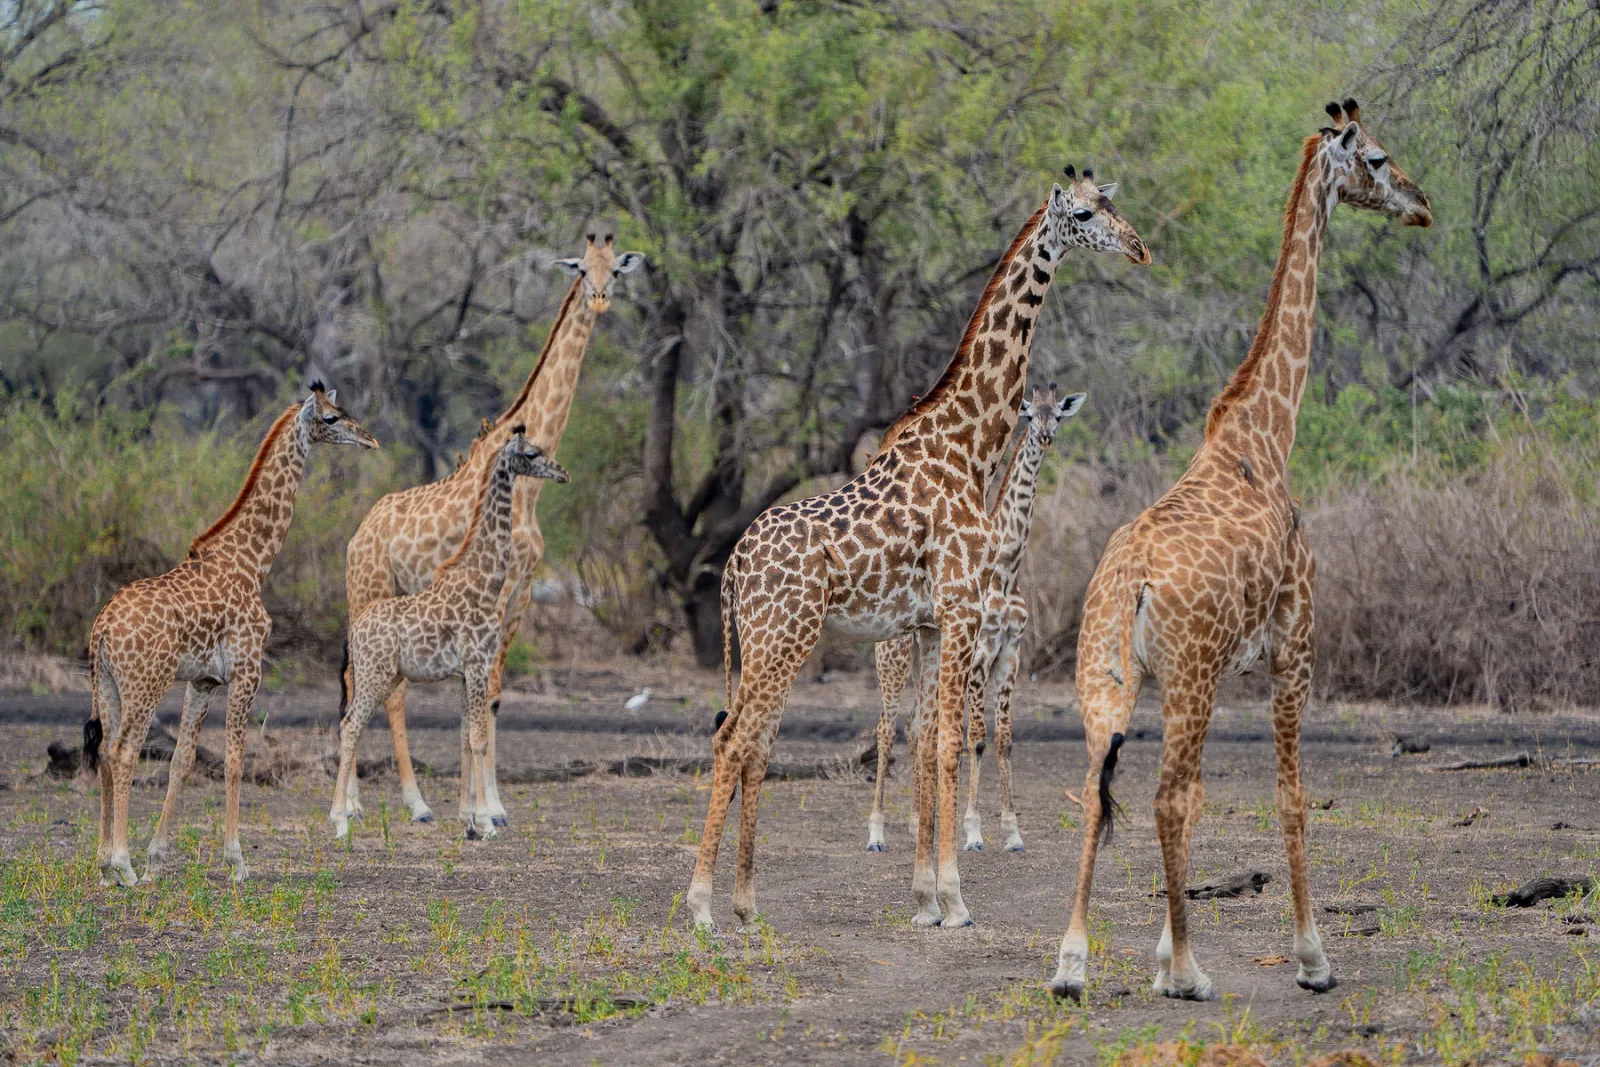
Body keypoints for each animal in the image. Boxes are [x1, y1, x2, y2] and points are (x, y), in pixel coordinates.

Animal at [82, 385, 379, 887]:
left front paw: (157, 857)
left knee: (104, 751)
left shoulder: (203, 681)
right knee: (123, 752)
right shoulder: (247, 670)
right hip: (146, 683)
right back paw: (122, 863)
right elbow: (236, 759)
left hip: (105, 683)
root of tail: (102, 628)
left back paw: (105, 865)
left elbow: (183, 760)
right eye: (332, 418)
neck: (253, 562)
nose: (369, 439)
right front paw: (237, 860)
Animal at [330, 430, 568, 840]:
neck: (485, 579)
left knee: (350, 721)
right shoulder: (477, 663)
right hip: (376, 674)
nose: (563, 472)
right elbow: (478, 738)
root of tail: (355, 631)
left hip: (377, 672)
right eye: (532, 453)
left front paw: (468, 819)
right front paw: (486, 822)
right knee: (350, 725)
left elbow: (465, 737)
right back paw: (341, 819)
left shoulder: (466, 671)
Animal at [866, 385, 1085, 854]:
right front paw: (972, 831)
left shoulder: (1011, 653)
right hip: (892, 655)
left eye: (1058, 415)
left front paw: (1013, 832)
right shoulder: (981, 652)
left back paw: (917, 824)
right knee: (885, 728)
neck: (1006, 569)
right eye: (1029, 416)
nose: (1045, 438)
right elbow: (976, 739)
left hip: (926, 655)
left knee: (915, 727)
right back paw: (876, 834)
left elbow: (1003, 741)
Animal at [1047, 101, 1431, 1002]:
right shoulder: (1295, 641)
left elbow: (1205, 795)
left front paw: (1156, 955)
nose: (1422, 204)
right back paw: (1192, 973)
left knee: (1097, 790)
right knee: (1161, 796)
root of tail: (1130, 580)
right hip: (1188, 675)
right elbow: (1290, 796)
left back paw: (1073, 963)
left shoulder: (1215, 666)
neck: (1266, 435)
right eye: (1377, 157)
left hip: (1107, 676)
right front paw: (1312, 958)